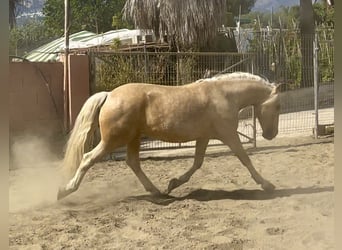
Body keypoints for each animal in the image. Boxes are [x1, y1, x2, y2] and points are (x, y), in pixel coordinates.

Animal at [57, 71, 282, 200]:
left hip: (133, 137)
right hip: (113, 140)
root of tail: (109, 95)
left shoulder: (204, 137)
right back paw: (65, 190)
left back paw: (157, 191)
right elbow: (245, 159)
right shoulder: (229, 135)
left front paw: (173, 184)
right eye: (278, 107)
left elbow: (197, 163)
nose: (271, 134)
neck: (224, 96)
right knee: (88, 158)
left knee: (133, 163)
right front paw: (267, 185)